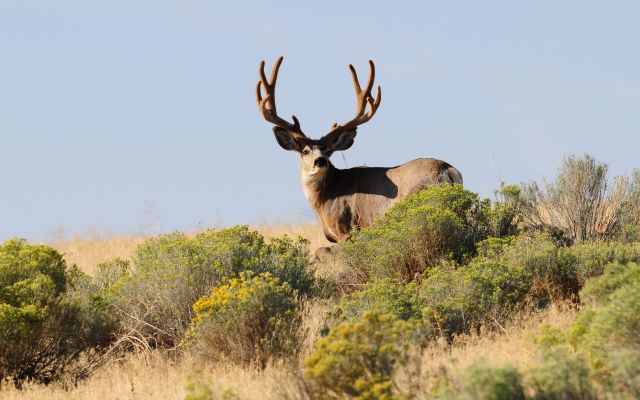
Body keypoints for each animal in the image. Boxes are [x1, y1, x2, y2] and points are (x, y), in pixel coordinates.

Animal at [256, 57, 463, 247]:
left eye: (328, 151)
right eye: (305, 151)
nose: (320, 161)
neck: (326, 198)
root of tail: (446, 169)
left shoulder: (346, 230)